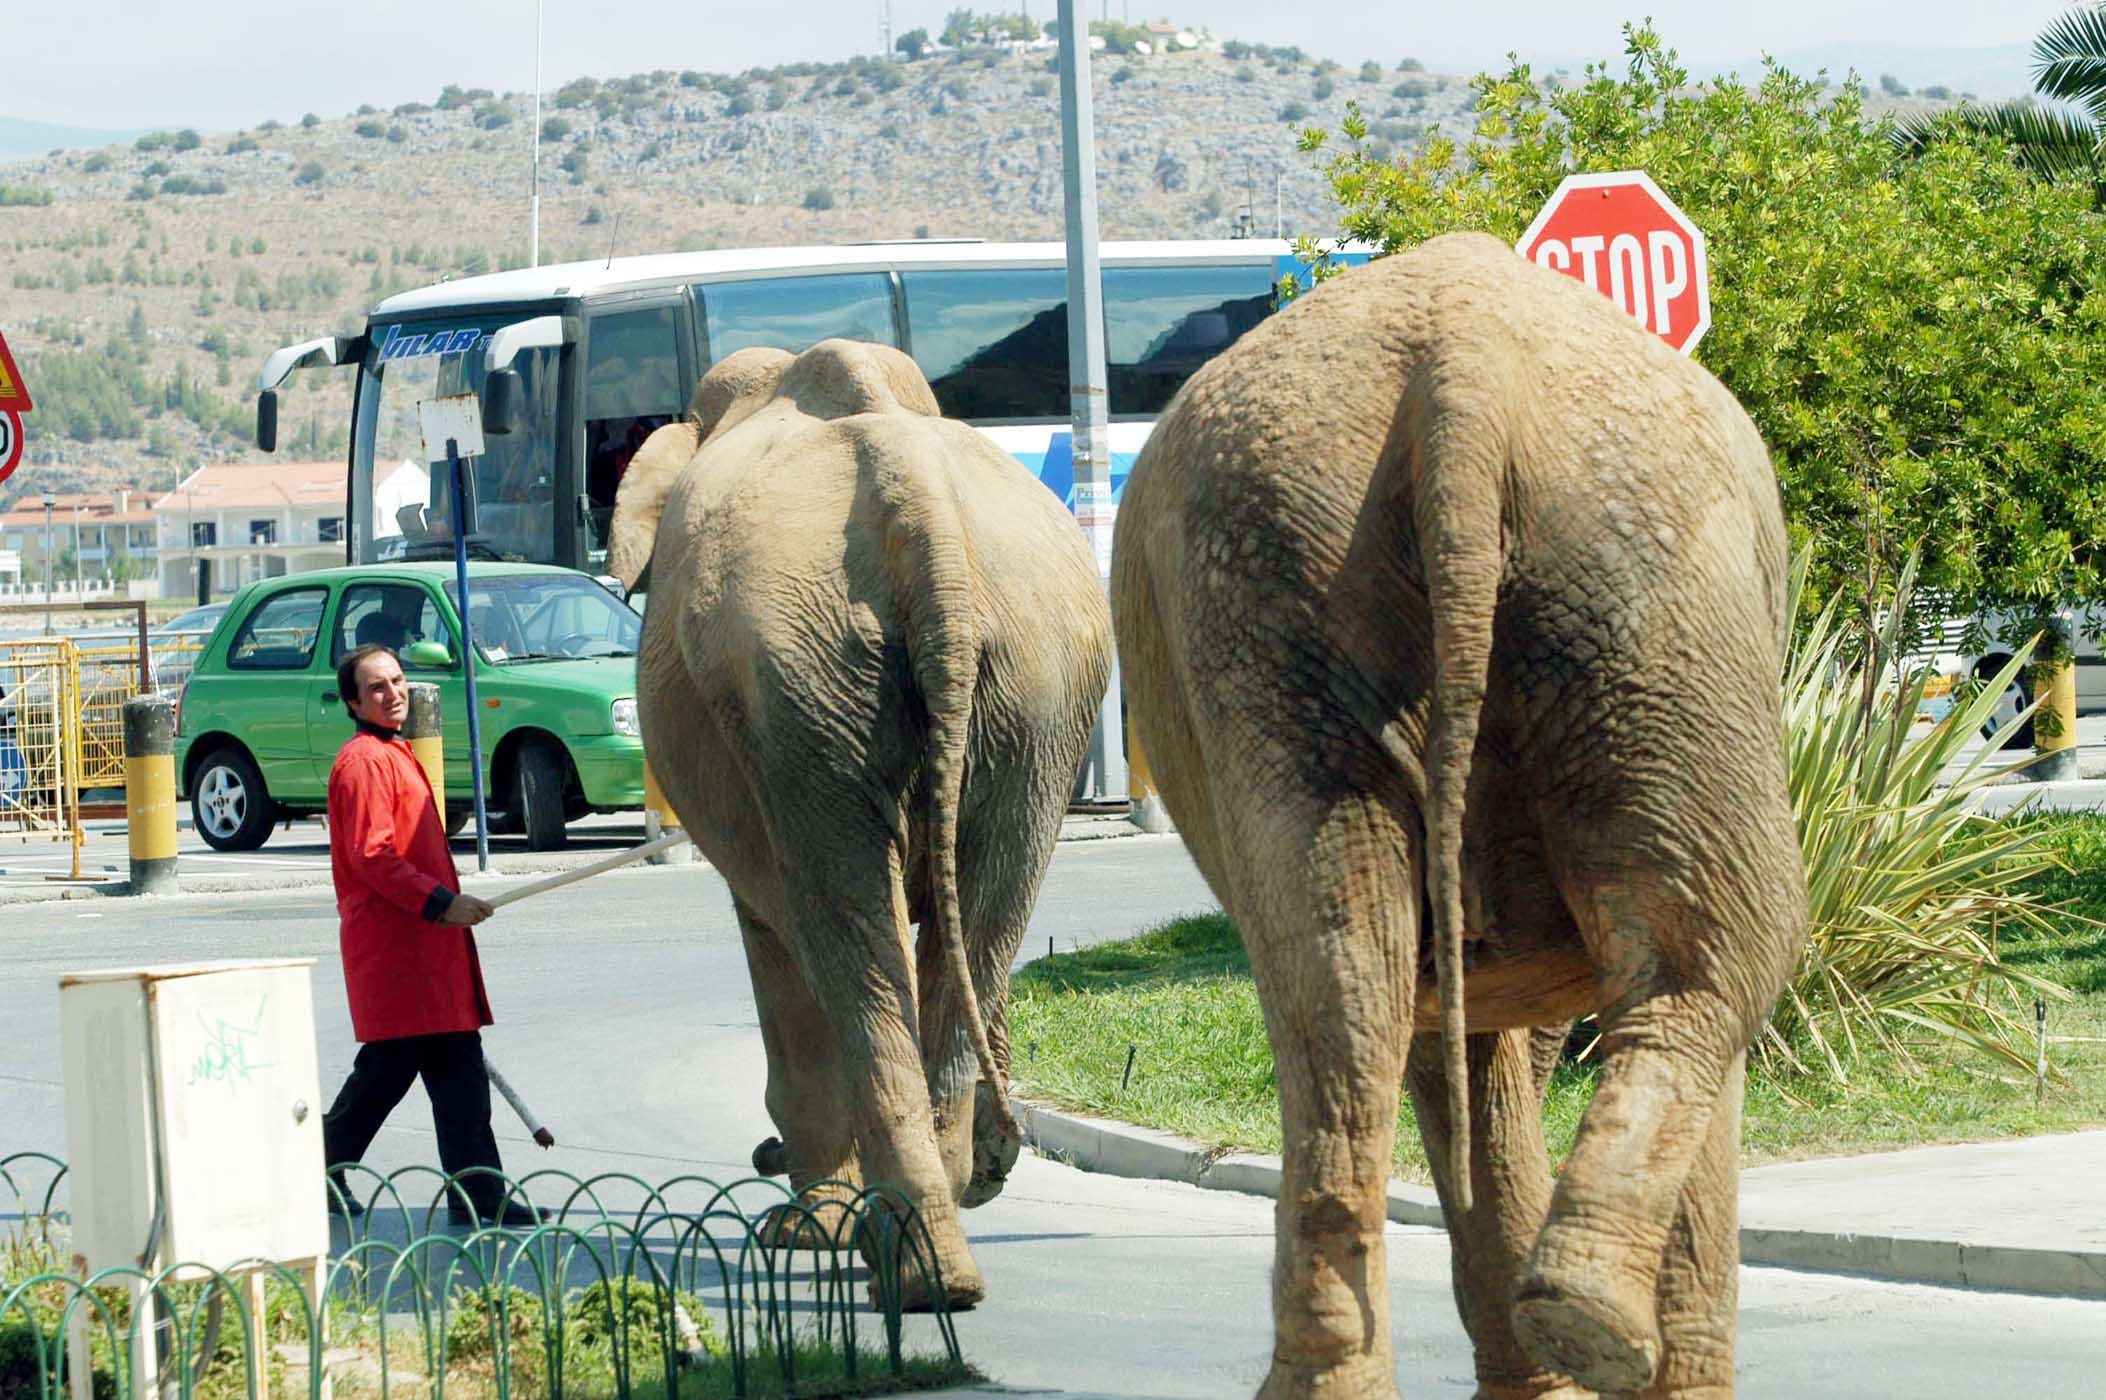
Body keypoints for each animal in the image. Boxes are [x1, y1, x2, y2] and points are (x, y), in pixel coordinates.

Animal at [606, 336, 1111, 1313]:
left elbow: (780, 941)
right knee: (977, 917)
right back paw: (937, 1262)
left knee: (843, 931)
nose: (761, 1159)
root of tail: (919, 512)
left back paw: (905, 1267)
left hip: (801, 688)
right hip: (1024, 691)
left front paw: (805, 1237)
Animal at [1111, 234, 1819, 1389]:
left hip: (1305, 606)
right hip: (1630, 583)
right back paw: (1582, 1321)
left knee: (1344, 980)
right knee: (1721, 949)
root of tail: (1463, 370)